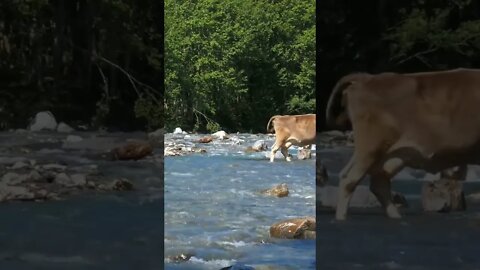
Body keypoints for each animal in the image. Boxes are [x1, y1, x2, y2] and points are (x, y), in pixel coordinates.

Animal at [326, 68, 480, 220]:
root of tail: (367, 78)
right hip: (370, 149)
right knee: (349, 179)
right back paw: (341, 218)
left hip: (390, 155)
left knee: (377, 182)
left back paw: (395, 216)